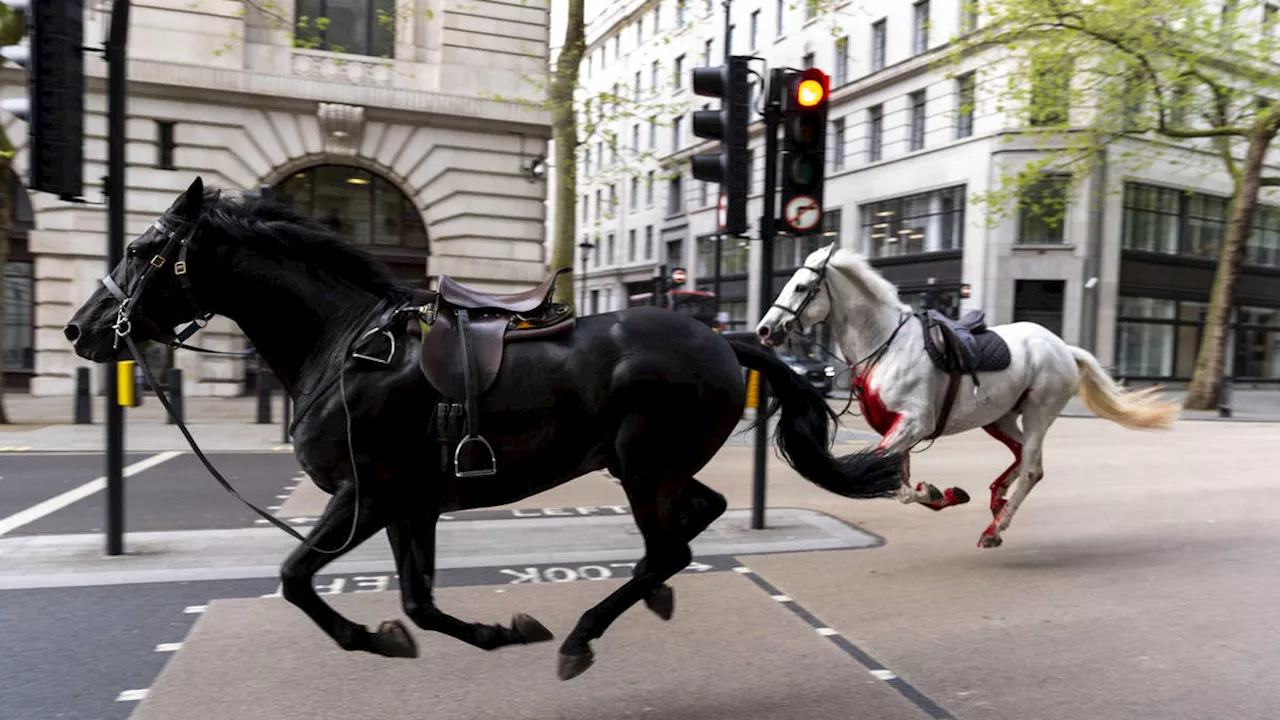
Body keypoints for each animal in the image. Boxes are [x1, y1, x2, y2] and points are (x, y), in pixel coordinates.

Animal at [62, 178, 901, 676]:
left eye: (140, 249)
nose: (79, 329)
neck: (345, 346)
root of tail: (723, 339)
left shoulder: (366, 496)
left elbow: (297, 577)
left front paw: (369, 637)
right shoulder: (410, 504)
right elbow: (418, 603)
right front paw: (490, 632)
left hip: (641, 465)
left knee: (670, 544)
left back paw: (585, 634)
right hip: (648, 465)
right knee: (696, 520)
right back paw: (647, 597)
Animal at [747, 243, 1177, 545]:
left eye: (802, 286)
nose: (764, 330)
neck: (887, 345)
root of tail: (1062, 347)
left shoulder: (912, 423)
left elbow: (892, 482)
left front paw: (938, 492)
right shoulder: (900, 429)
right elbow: (899, 483)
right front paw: (942, 493)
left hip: (1039, 412)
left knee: (1032, 469)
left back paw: (995, 529)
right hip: (1000, 417)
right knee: (1024, 459)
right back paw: (997, 500)